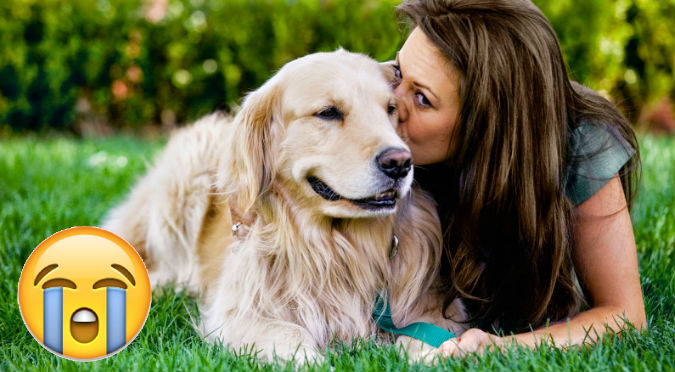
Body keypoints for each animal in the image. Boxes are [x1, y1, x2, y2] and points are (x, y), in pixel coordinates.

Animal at [103, 48, 468, 360]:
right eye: (328, 112)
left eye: (391, 110)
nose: (400, 162)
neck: (338, 249)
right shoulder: (236, 312)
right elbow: (290, 334)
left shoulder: (438, 309)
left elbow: (428, 334)